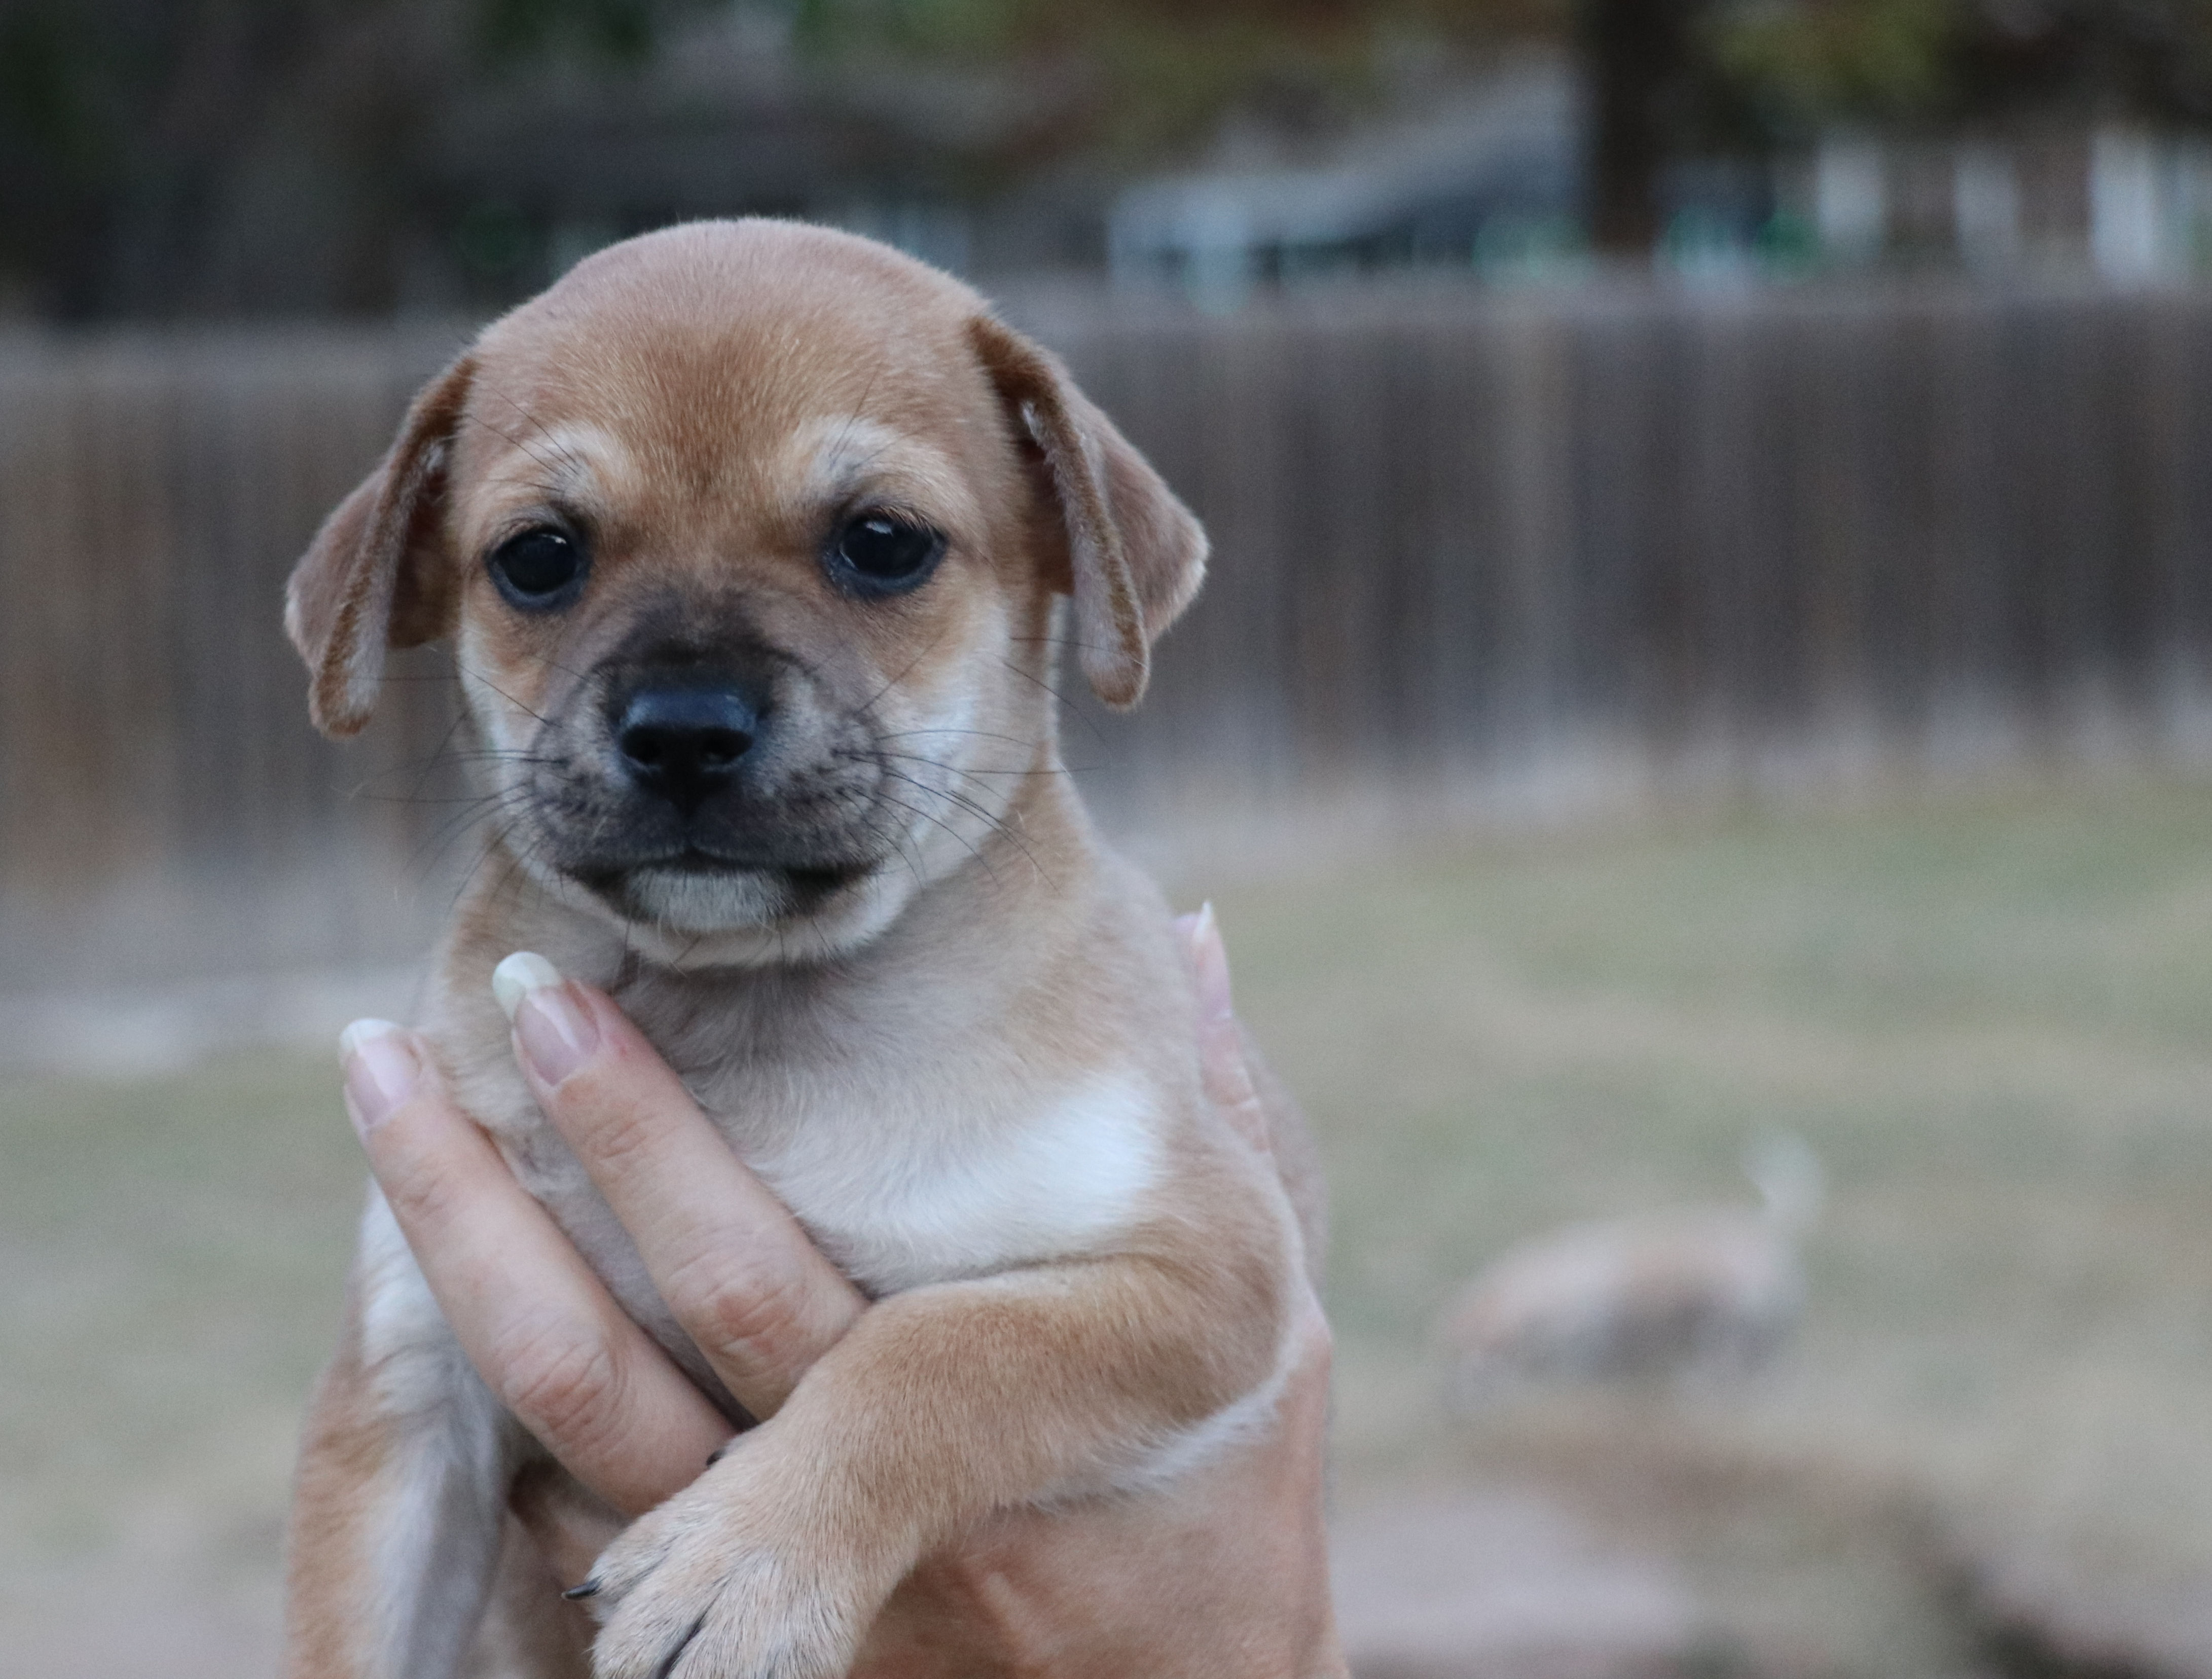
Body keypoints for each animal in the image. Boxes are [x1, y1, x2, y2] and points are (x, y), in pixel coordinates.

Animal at [276, 216, 1327, 1672]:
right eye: (538, 558)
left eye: (882, 542)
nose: (683, 730)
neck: (746, 1012)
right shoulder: (409, 1388)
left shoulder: (1199, 1266)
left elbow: (940, 1350)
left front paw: (753, 1554)